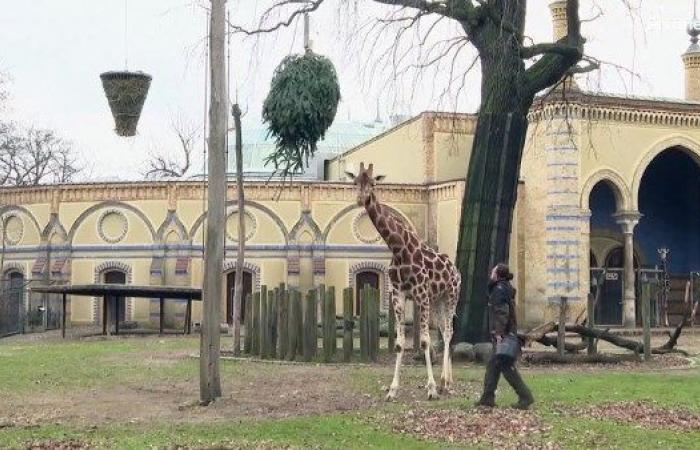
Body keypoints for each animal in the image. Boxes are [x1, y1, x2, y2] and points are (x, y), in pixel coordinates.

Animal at [348, 163, 462, 400]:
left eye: (374, 182)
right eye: (355, 182)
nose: (361, 199)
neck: (399, 249)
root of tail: (455, 270)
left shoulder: (421, 295)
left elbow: (425, 340)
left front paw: (431, 389)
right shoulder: (398, 296)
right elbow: (400, 344)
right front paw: (392, 390)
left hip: (451, 296)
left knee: (449, 332)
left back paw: (445, 382)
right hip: (437, 301)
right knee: (444, 330)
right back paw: (446, 380)